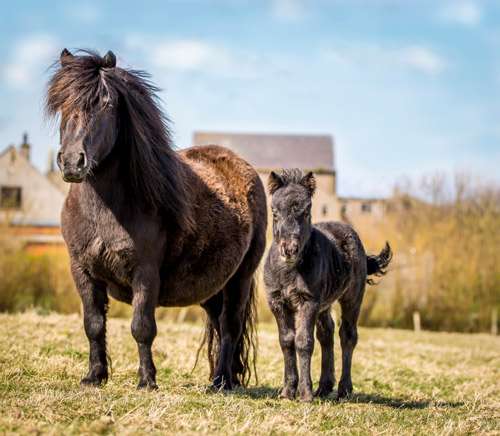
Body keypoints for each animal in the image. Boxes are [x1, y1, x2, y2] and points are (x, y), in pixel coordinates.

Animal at [45, 49, 268, 390]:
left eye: (104, 103)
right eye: (61, 104)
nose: (72, 162)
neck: (106, 211)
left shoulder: (145, 272)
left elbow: (142, 327)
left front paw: (147, 381)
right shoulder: (82, 271)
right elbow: (93, 325)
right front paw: (94, 377)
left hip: (240, 279)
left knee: (230, 325)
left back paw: (219, 381)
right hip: (210, 285)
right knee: (218, 324)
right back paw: (226, 378)